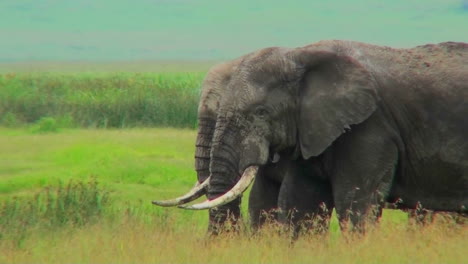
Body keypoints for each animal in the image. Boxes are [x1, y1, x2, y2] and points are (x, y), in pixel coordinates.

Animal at [154, 39, 468, 233]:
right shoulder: (312, 130)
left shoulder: (371, 128)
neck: (301, 56)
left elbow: (356, 205)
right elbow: (297, 205)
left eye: (261, 113)